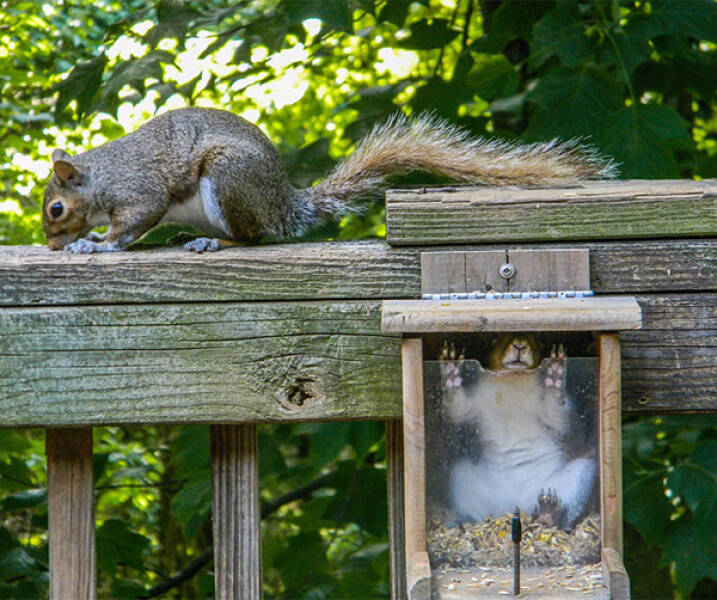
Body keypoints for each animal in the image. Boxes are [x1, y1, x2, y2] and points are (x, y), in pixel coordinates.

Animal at [40, 108, 616, 253]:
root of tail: (284, 202)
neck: (99, 178)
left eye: (55, 210)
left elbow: (134, 222)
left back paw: (215, 241)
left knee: (253, 237)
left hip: (228, 181)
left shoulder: (139, 191)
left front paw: (96, 244)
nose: (49, 245)